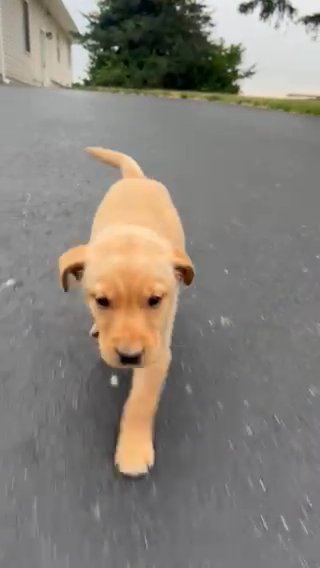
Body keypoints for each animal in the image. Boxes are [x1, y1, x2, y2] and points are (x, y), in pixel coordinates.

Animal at [58, 149, 194, 478]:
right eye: (102, 301)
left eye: (155, 300)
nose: (129, 356)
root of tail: (136, 179)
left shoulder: (158, 352)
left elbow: (140, 402)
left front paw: (132, 450)